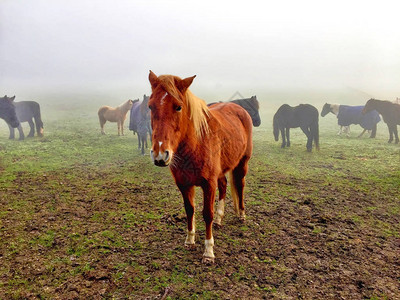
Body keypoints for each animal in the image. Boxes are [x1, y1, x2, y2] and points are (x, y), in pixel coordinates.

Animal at [147, 71, 253, 264]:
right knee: (224, 186)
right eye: (151, 107)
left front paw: (208, 251)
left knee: (240, 185)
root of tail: (239, 109)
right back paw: (219, 219)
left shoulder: (208, 184)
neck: (195, 144)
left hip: (243, 163)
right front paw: (190, 240)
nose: (160, 155)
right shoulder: (184, 184)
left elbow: (206, 214)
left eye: (178, 107)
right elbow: (190, 210)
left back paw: (241, 214)